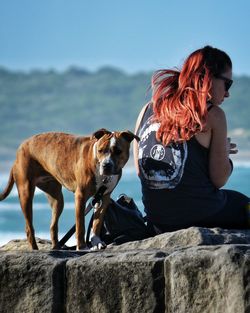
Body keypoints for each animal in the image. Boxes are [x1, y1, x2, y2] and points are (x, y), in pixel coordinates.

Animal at [0, 129, 140, 249]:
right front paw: (82, 247)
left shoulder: (104, 197)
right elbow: (80, 225)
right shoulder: (80, 196)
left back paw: (57, 247)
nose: (106, 165)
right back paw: (35, 249)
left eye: (118, 151)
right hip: (26, 192)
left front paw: (96, 242)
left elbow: (97, 222)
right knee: (29, 227)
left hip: (57, 198)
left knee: (53, 225)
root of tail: (19, 150)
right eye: (100, 150)